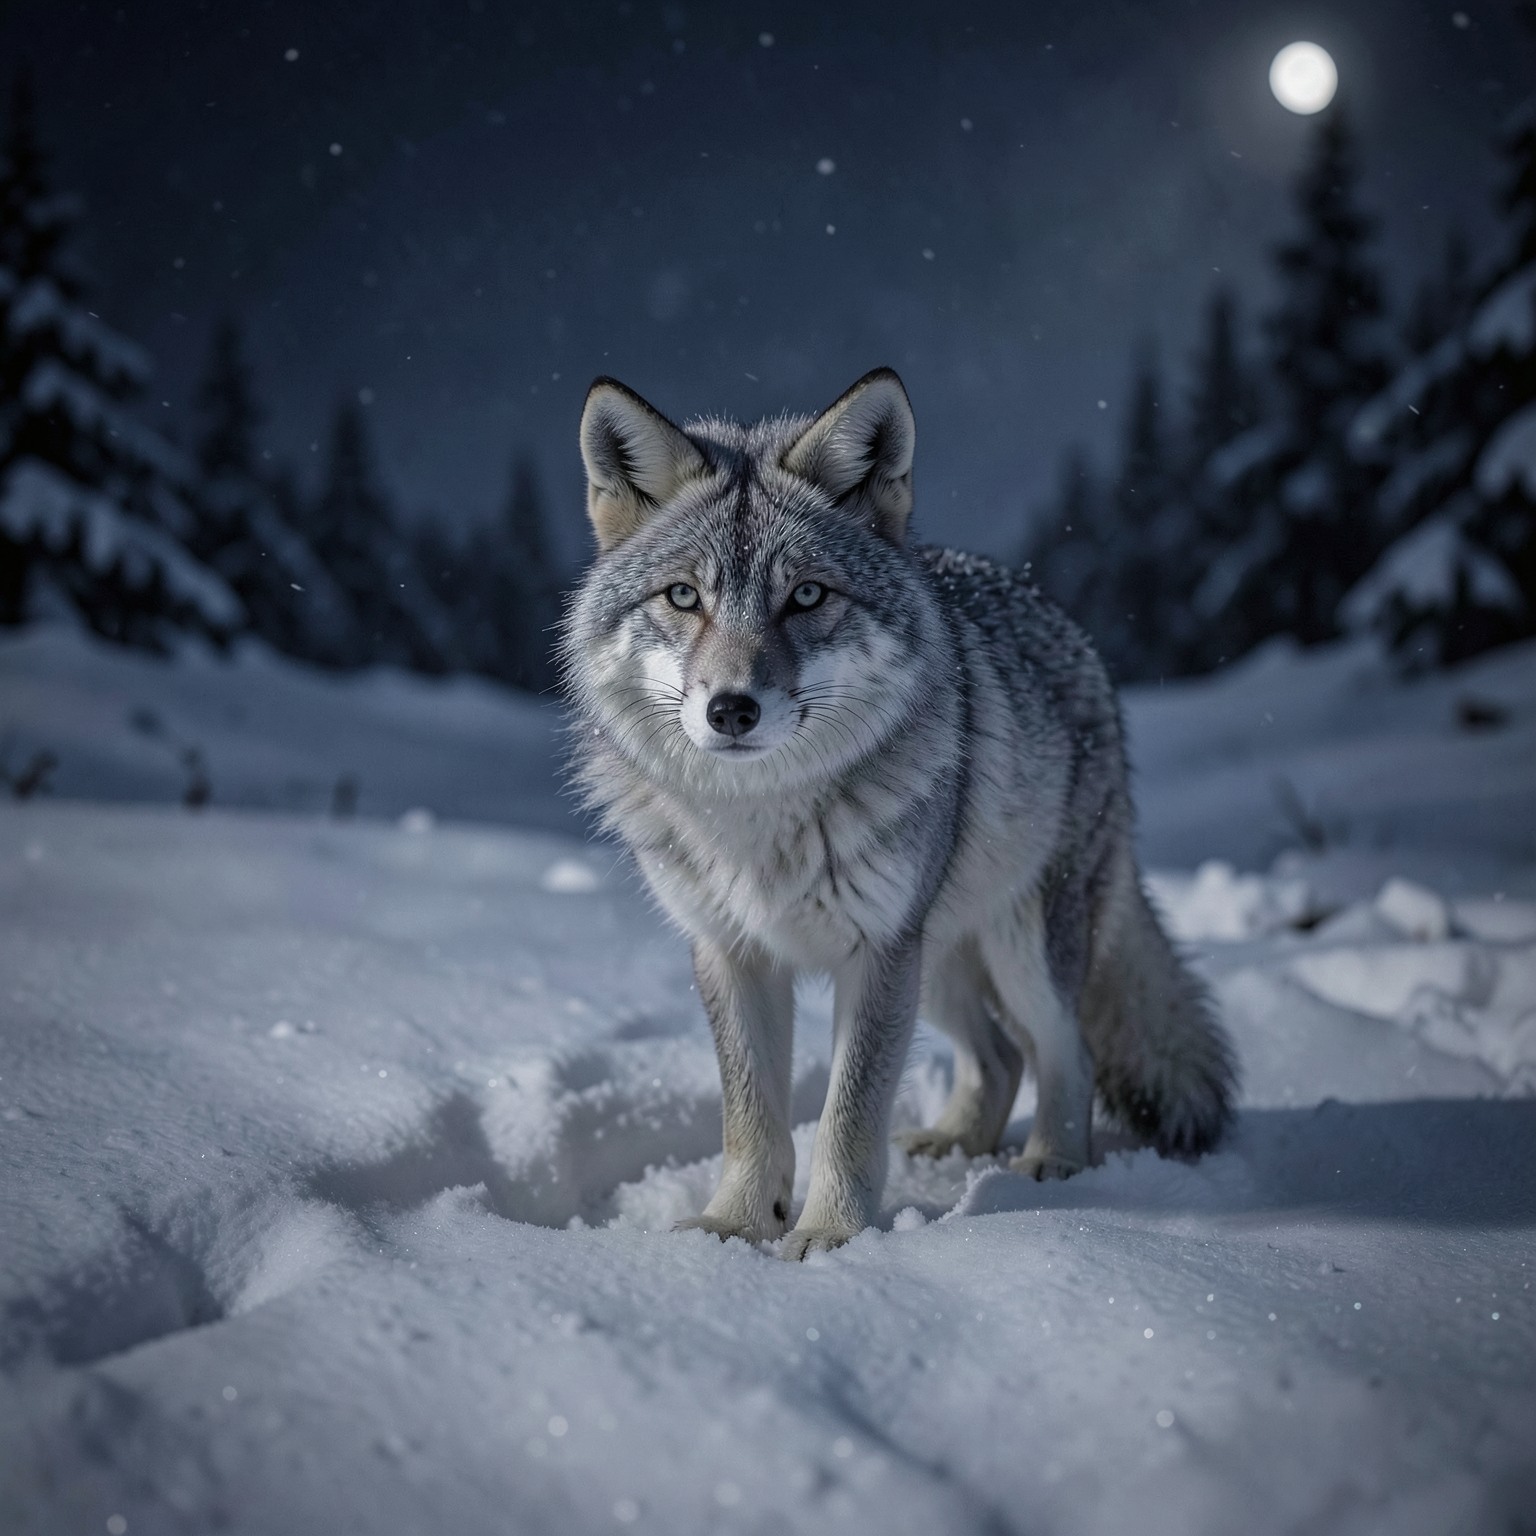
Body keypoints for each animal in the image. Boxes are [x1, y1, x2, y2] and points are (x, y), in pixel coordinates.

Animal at [561, 367, 1237, 1260]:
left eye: (806, 595)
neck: (761, 825)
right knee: (998, 1058)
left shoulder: (877, 954)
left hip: (1012, 952)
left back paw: (1051, 1165)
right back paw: (955, 1144)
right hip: (940, 962)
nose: (731, 709)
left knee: (1068, 1049)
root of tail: (1067, 627)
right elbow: (751, 1118)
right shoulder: (734, 954)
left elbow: (848, 1117)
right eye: (683, 597)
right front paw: (735, 1226)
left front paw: (830, 1236)